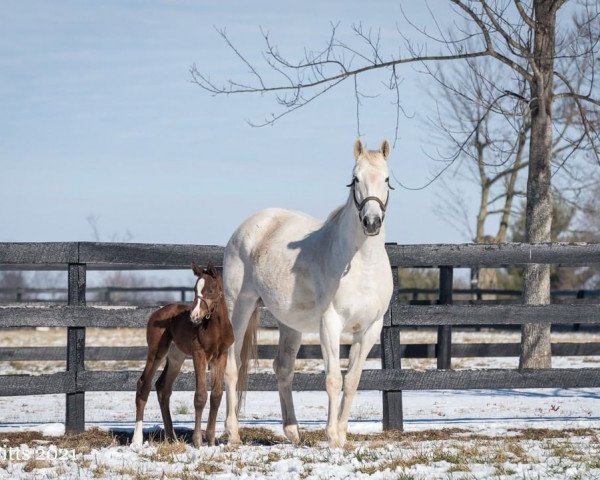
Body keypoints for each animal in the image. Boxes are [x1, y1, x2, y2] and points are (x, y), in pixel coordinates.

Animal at [132, 262, 233, 446]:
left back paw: (172, 437)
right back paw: (137, 439)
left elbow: (216, 395)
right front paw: (198, 441)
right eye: (194, 289)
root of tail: (157, 312)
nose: (194, 316)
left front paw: (211, 440)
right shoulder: (199, 354)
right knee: (144, 384)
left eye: (210, 289)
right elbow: (200, 395)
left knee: (162, 387)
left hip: (176, 357)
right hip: (156, 352)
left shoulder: (221, 356)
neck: (216, 330)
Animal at [220, 139, 394, 446]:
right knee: (232, 365)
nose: (371, 222)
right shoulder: (330, 323)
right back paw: (233, 434)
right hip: (239, 306)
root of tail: (250, 225)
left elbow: (352, 380)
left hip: (289, 323)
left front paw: (343, 434)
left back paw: (292, 431)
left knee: (283, 367)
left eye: (386, 179)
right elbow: (333, 379)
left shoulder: (370, 328)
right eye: (355, 179)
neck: (361, 264)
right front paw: (332, 436)